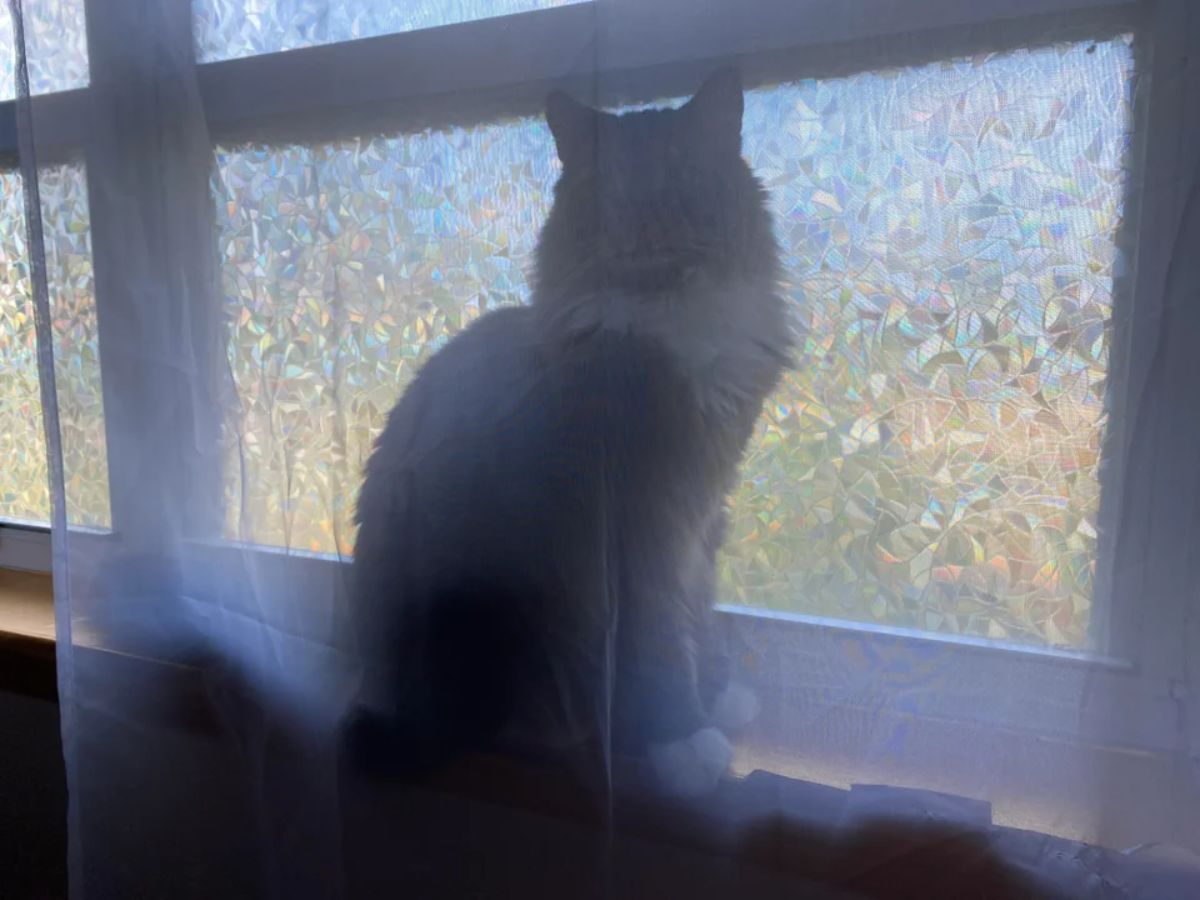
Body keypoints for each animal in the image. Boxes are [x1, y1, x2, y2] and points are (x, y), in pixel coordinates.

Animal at [348, 68, 792, 796]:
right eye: (614, 192)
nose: (647, 225)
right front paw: (683, 736)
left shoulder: (701, 508)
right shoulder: (640, 523)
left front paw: (716, 692)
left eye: (680, 179)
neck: (663, 330)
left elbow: (697, 607)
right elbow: (661, 634)